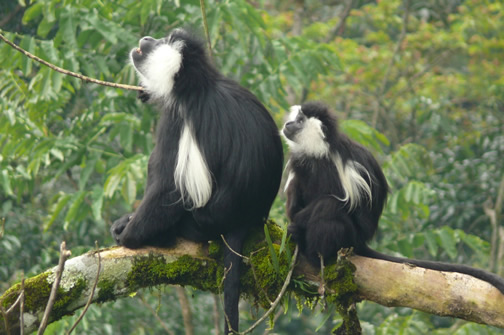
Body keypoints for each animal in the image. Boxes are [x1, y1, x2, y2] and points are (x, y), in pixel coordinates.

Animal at [110, 29, 284, 334]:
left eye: (163, 42)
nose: (148, 39)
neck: (197, 84)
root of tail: (242, 219)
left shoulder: (176, 120)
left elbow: (167, 187)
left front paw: (129, 235)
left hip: (203, 221)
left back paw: (162, 234)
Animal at [282, 101, 504, 296]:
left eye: (300, 120)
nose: (287, 124)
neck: (319, 152)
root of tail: (361, 242)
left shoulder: (343, 167)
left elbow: (345, 204)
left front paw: (298, 223)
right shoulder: (299, 163)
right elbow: (294, 196)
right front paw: (293, 224)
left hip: (351, 235)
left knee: (330, 207)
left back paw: (316, 254)